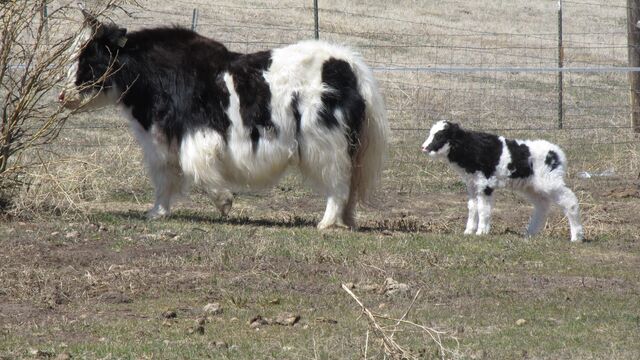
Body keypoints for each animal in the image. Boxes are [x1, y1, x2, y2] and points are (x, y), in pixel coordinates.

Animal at [420, 120, 584, 242]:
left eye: (439, 135)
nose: (424, 147)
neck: (471, 147)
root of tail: (558, 152)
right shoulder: (472, 184)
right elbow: (472, 207)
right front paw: (468, 231)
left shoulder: (485, 184)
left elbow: (483, 208)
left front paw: (481, 232)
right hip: (531, 186)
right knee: (542, 205)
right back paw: (529, 233)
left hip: (550, 182)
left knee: (570, 201)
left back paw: (576, 236)